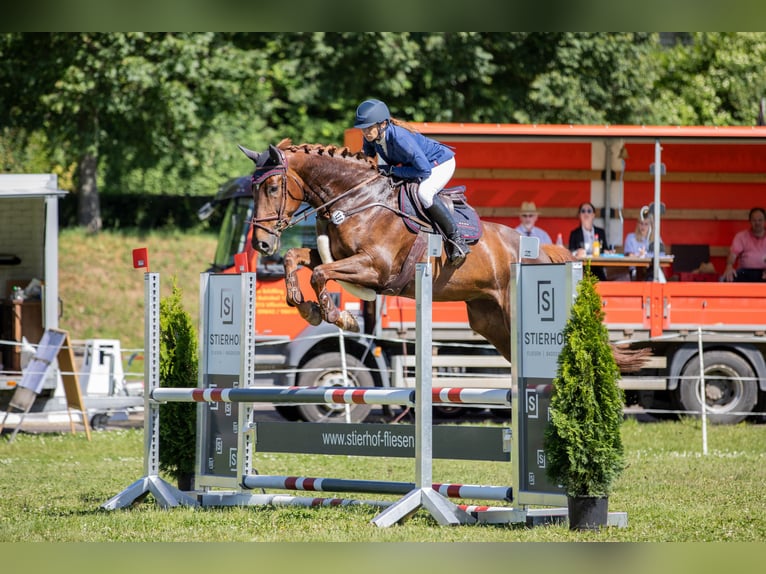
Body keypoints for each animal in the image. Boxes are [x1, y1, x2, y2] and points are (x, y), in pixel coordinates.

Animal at [240, 140, 648, 374]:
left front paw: (337, 316)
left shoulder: (375, 268)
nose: (261, 246)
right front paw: (303, 305)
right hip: (491, 323)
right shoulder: (339, 256)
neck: (356, 198)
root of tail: (542, 250)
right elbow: (298, 259)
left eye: (272, 187)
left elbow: (320, 274)